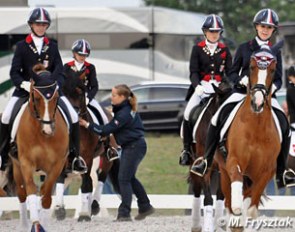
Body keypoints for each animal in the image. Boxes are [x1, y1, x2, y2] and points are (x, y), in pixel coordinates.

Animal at [8, 64, 69, 232]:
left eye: (56, 98)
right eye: (36, 98)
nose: (48, 130)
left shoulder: (58, 164)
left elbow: (46, 195)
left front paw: (43, 223)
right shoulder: (26, 162)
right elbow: (31, 190)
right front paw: (36, 224)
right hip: (16, 166)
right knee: (22, 193)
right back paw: (24, 225)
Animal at [219, 43, 284, 227]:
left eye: (272, 70)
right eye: (251, 67)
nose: (258, 102)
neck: (257, 127)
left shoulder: (266, 172)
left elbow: (252, 208)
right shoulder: (234, 161)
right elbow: (236, 197)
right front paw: (236, 208)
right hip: (222, 170)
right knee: (228, 202)